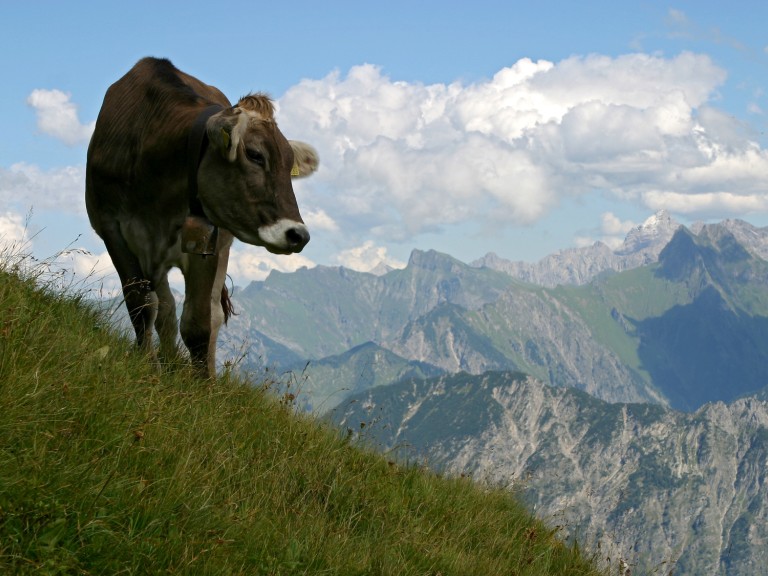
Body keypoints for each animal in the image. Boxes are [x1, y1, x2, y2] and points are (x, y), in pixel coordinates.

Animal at [87, 57, 318, 378]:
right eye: (255, 155)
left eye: (289, 166)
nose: (298, 235)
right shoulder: (111, 229)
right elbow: (141, 305)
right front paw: (149, 366)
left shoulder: (210, 243)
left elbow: (199, 323)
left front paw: (201, 385)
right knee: (166, 308)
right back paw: (169, 361)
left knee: (210, 315)